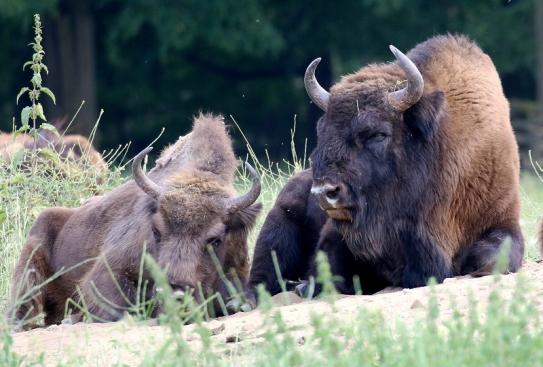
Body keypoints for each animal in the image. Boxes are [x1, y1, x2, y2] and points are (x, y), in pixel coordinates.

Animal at [248, 33, 524, 302]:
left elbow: (493, 258)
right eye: (322, 130)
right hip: (277, 224)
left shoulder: (503, 218)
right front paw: (306, 286)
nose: (323, 192)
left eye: (378, 134)